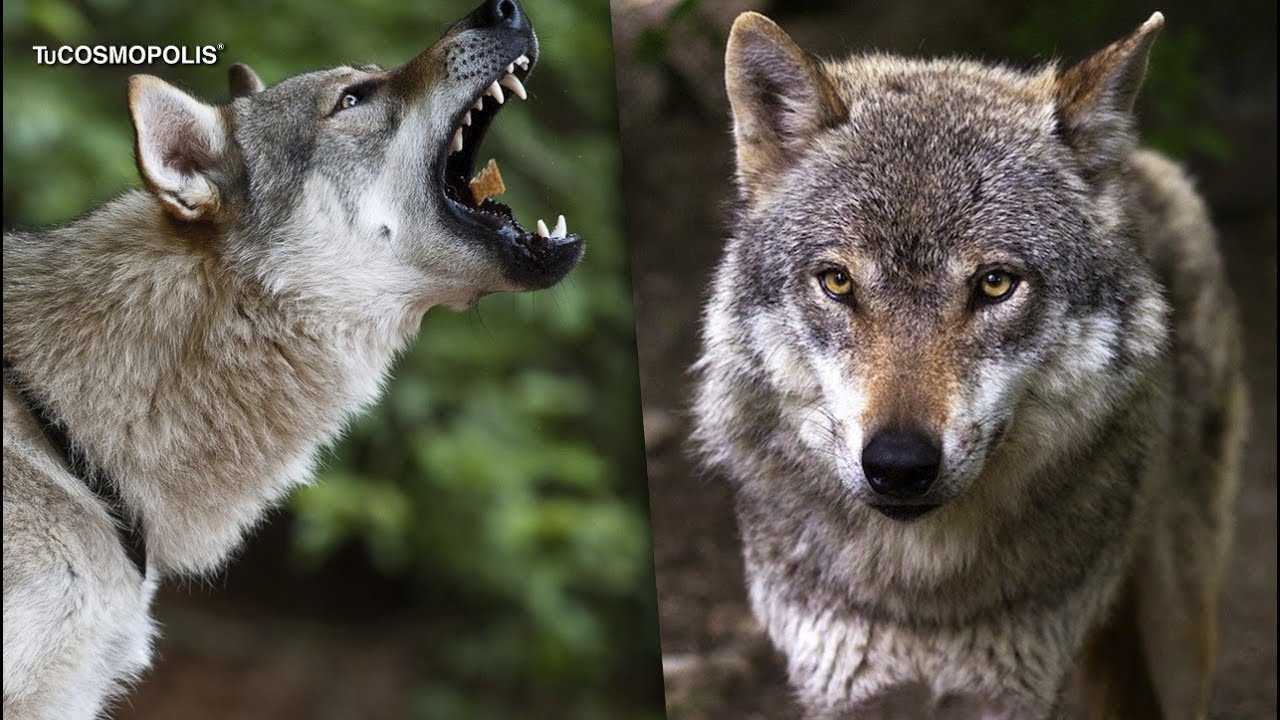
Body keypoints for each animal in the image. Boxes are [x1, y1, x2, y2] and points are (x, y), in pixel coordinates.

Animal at [693, 10, 1246, 719]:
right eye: (838, 281)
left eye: (994, 284)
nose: (899, 465)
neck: (923, 597)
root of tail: (1143, 164)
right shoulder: (838, 689)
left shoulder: (1017, 693)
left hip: (1179, 622)